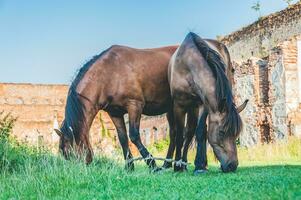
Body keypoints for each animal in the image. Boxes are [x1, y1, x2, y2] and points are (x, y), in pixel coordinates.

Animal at [168, 32, 245, 173]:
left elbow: (200, 132)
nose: (232, 165)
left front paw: (199, 165)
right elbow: (180, 135)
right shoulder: (179, 105)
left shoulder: (204, 104)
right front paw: (177, 166)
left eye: (236, 134)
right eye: (222, 132)